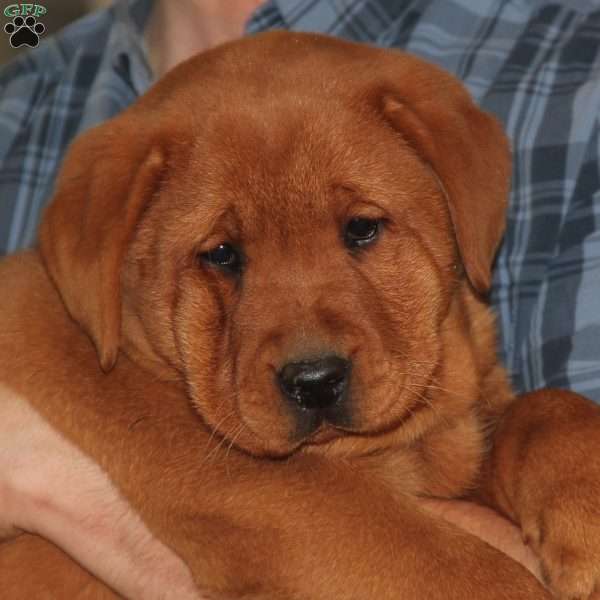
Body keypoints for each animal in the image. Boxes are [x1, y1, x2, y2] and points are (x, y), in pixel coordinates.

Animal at [1, 30, 600, 596]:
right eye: (223, 254)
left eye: (362, 228)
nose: (315, 381)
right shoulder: (257, 483)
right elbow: (441, 559)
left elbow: (546, 409)